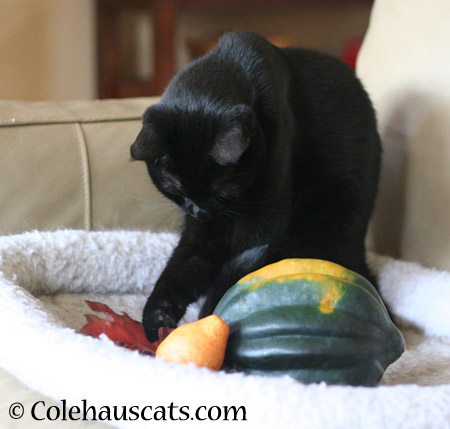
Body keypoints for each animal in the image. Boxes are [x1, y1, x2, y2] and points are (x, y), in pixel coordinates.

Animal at [130, 30, 380, 342]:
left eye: (221, 190)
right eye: (177, 191)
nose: (201, 212)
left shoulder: (264, 217)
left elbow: (240, 272)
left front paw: (213, 316)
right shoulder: (202, 232)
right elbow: (182, 266)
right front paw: (157, 317)